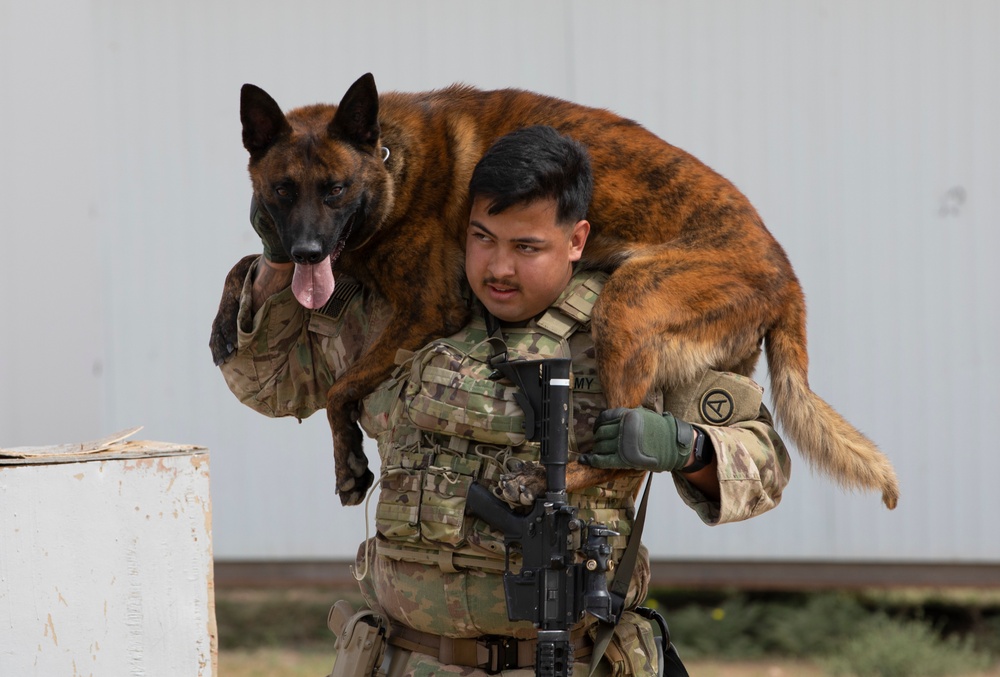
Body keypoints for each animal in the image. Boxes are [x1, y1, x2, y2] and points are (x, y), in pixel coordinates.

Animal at [211, 72, 900, 508]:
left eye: (334, 190)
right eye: (281, 192)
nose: (306, 252)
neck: (391, 167)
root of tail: (787, 280)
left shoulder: (427, 308)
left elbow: (339, 389)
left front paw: (351, 465)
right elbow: (248, 263)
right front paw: (227, 324)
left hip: (627, 305)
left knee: (626, 458)